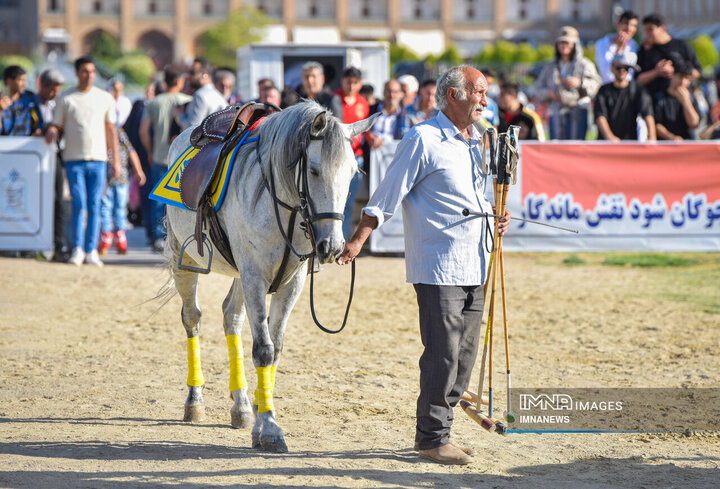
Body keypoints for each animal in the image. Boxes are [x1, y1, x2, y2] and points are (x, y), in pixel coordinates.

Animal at [163, 101, 376, 452]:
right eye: (314, 170)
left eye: (352, 173)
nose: (332, 246)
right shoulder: (255, 276)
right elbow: (262, 349)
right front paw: (271, 429)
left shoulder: (291, 283)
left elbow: (274, 349)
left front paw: (262, 415)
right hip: (185, 258)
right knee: (192, 318)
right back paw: (194, 401)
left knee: (231, 318)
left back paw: (241, 407)